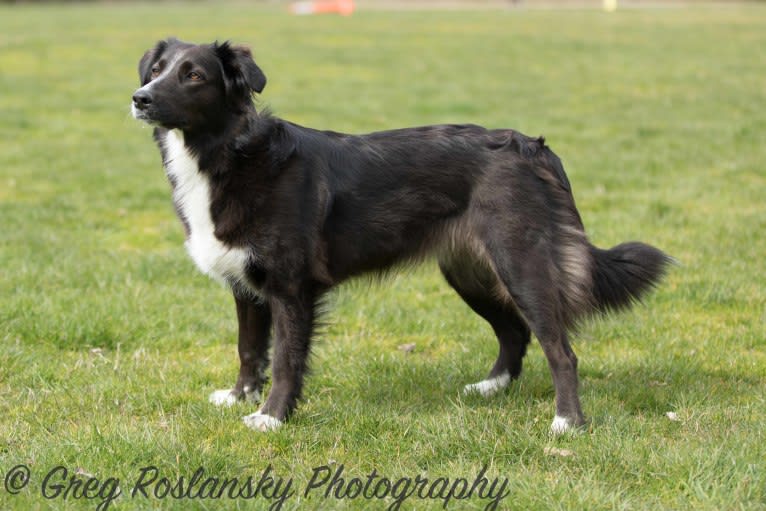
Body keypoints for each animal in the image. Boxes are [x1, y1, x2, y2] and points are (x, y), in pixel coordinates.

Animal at [132, 38, 672, 434]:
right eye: (155, 69)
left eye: (194, 75)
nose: (140, 98)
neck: (230, 152)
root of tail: (531, 148)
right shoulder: (245, 285)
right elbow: (249, 348)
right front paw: (238, 395)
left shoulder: (291, 288)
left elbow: (285, 359)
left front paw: (271, 417)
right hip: (469, 272)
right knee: (514, 331)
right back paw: (492, 388)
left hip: (521, 264)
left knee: (560, 349)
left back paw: (567, 423)